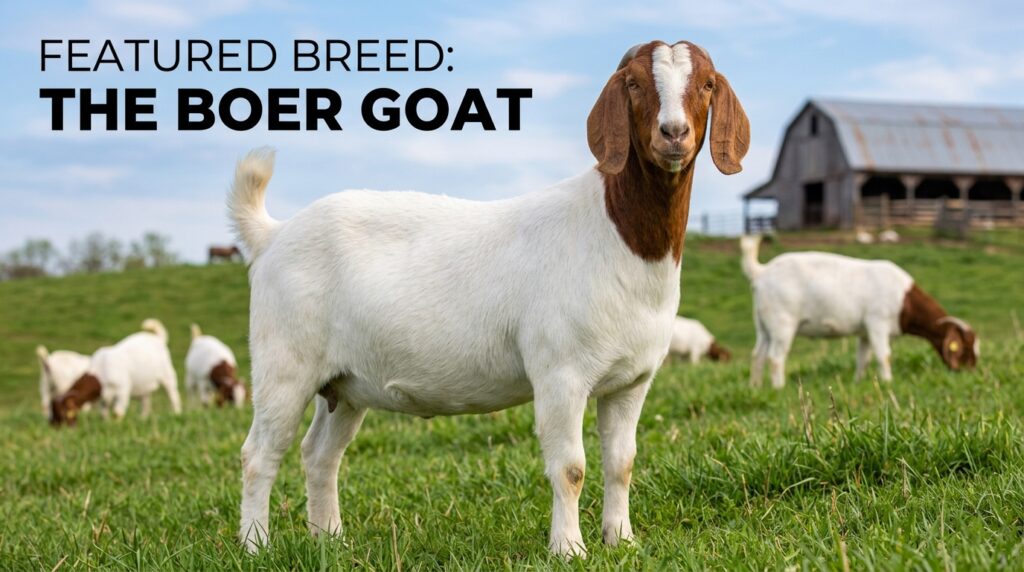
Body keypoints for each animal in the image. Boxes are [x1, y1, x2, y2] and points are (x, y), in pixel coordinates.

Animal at [50, 319, 182, 425]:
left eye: (63, 414)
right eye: (53, 413)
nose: (54, 427)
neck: (100, 372)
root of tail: (157, 338)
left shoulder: (123, 390)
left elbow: (117, 412)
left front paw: (117, 425)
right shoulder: (103, 399)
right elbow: (103, 414)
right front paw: (107, 424)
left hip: (167, 375)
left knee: (173, 396)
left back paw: (176, 414)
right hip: (144, 386)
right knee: (146, 402)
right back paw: (142, 419)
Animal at [228, 40, 748, 557]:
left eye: (706, 84)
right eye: (635, 84)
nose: (674, 133)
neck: (617, 234)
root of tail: (273, 235)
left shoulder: (632, 381)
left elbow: (622, 462)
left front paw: (621, 541)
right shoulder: (560, 373)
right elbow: (571, 467)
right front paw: (569, 549)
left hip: (345, 381)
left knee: (320, 453)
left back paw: (331, 541)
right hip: (284, 363)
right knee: (259, 454)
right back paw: (256, 546)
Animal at [740, 235, 978, 389]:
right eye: (965, 349)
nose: (969, 374)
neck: (904, 298)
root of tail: (762, 271)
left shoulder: (865, 332)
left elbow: (863, 358)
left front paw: (859, 382)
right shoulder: (877, 323)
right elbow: (884, 355)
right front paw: (888, 382)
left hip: (763, 325)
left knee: (757, 354)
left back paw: (755, 387)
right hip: (782, 323)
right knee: (775, 357)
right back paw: (778, 388)